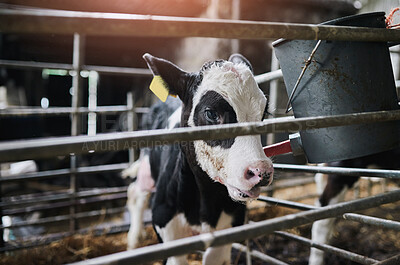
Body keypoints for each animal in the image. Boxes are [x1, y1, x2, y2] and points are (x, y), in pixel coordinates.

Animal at [126, 52, 274, 262]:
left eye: (263, 113)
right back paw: (133, 241)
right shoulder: (166, 225)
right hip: (147, 165)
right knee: (135, 193)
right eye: (211, 113)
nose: (260, 171)